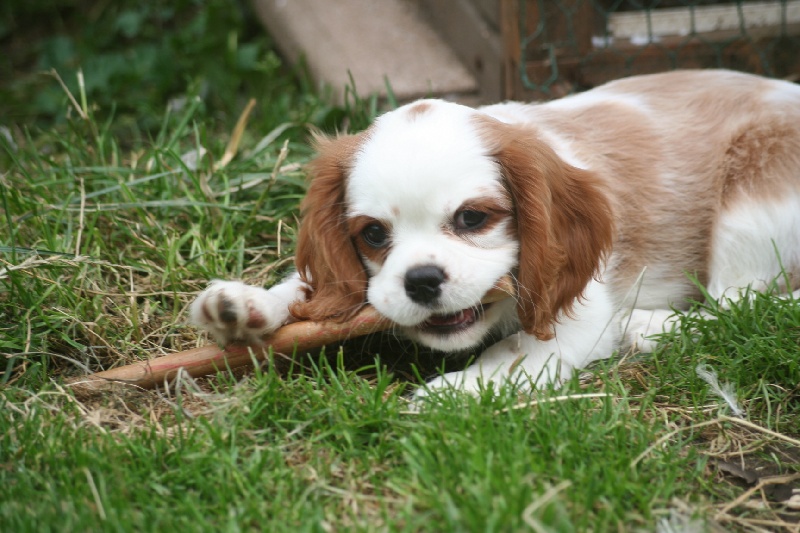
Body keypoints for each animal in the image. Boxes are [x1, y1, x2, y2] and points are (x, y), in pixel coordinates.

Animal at [192, 69, 800, 394]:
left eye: (472, 219)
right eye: (373, 235)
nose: (421, 281)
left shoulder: (578, 315)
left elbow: (511, 352)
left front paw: (444, 397)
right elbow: (313, 287)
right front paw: (245, 306)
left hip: (752, 197)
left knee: (743, 304)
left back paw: (648, 326)